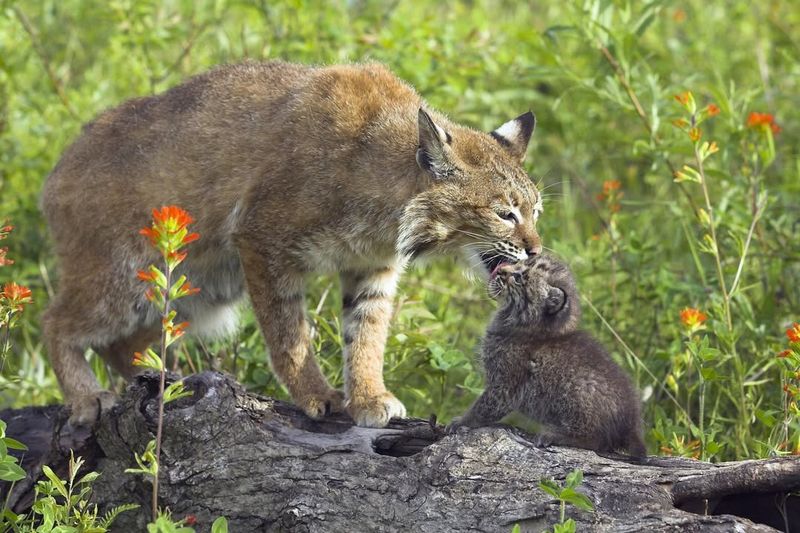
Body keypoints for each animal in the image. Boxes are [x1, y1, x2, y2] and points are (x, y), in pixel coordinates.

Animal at [454, 256, 648, 456]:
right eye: (518, 264)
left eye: (519, 278)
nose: (500, 269)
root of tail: (631, 424)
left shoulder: (505, 386)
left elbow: (484, 407)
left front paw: (461, 422)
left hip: (578, 390)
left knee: (597, 440)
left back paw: (554, 435)